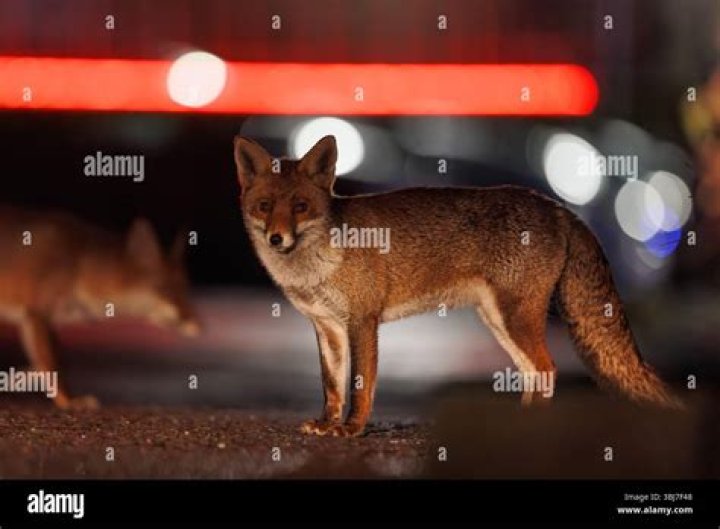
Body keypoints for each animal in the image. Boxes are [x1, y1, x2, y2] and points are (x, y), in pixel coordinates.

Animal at [0, 206, 199, 410]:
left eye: (185, 290)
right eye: (166, 290)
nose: (198, 326)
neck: (79, 264)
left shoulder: (44, 322)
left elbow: (46, 364)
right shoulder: (38, 314)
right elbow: (53, 367)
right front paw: (69, 401)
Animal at [233, 135, 683, 437]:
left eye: (300, 207)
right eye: (264, 207)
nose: (276, 239)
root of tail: (557, 206)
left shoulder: (363, 320)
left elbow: (360, 386)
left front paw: (352, 428)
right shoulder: (326, 327)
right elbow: (331, 386)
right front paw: (328, 424)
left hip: (514, 317)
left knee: (546, 370)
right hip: (498, 320)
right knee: (532, 373)